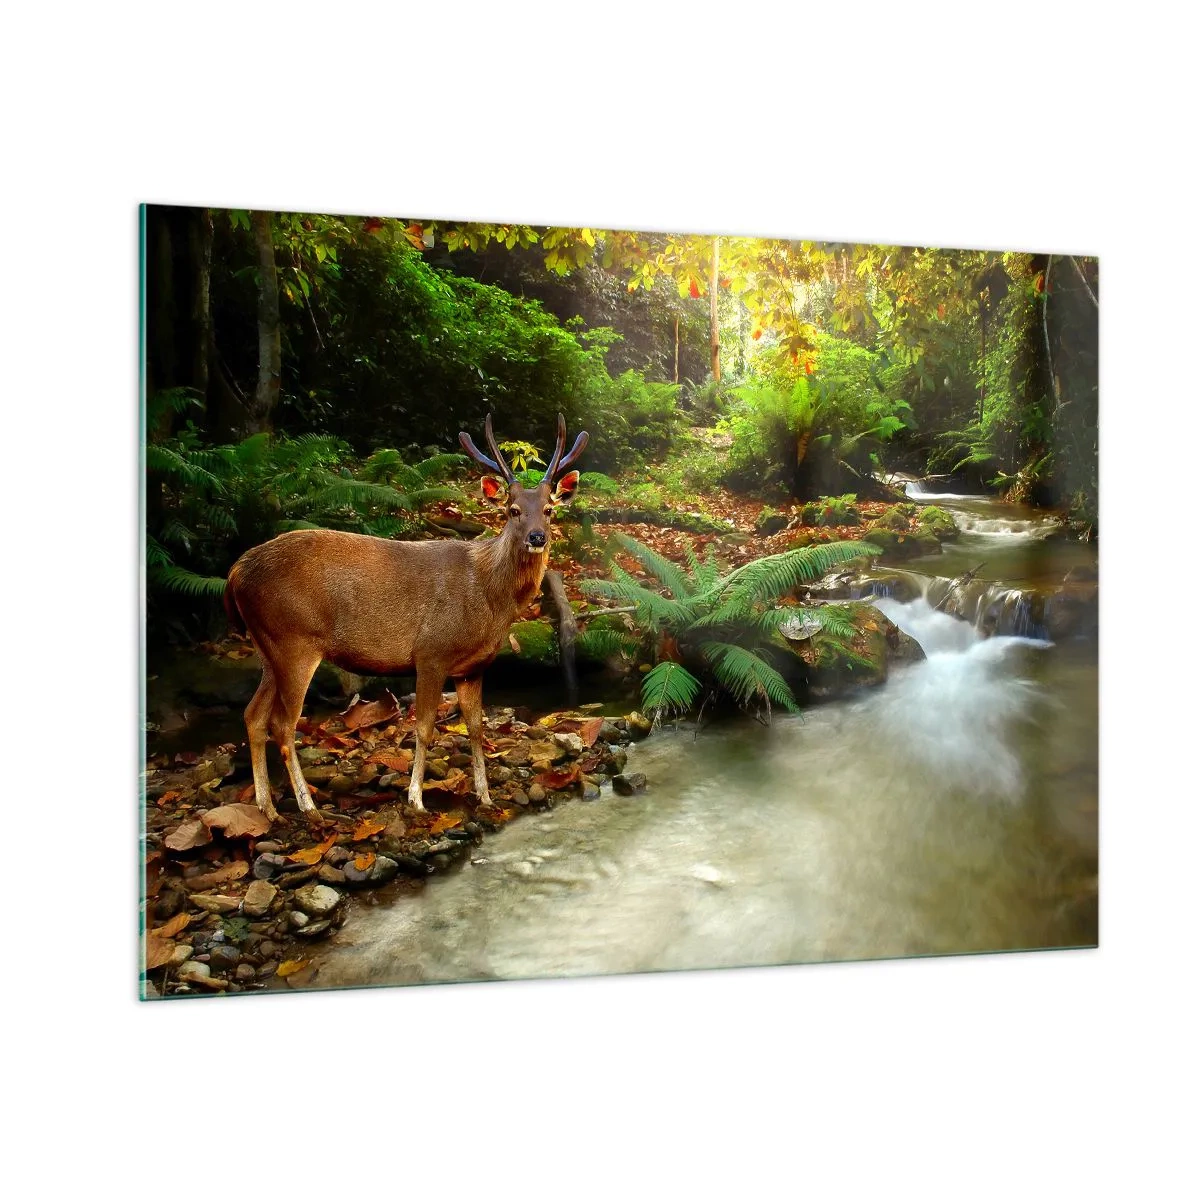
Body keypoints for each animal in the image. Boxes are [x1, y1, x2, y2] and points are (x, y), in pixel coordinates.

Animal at [223, 414, 588, 825]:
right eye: (512, 510)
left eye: (549, 509)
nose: (537, 537)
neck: (489, 600)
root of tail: (234, 573)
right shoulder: (431, 652)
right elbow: (425, 727)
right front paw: (416, 798)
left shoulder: (473, 667)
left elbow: (476, 728)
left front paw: (485, 796)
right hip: (294, 640)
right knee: (283, 725)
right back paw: (308, 806)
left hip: (268, 646)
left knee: (253, 716)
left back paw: (268, 808)